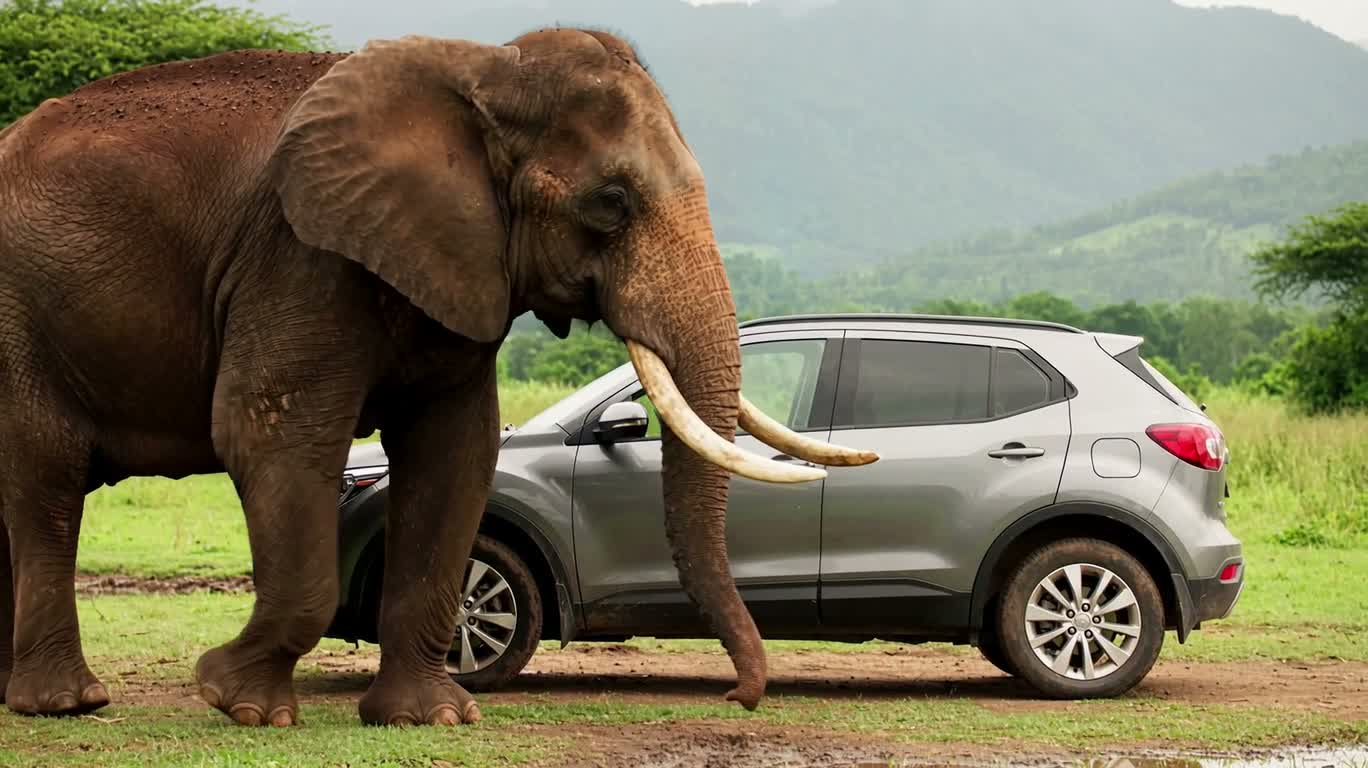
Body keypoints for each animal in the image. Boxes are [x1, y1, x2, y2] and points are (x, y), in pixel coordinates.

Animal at [0, 28, 877, 726]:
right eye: (611, 203)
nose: (739, 696)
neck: (483, 71)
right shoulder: (300, 254)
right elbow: (272, 434)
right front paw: (237, 701)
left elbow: (456, 452)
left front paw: (429, 719)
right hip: (19, 320)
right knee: (46, 474)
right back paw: (66, 704)